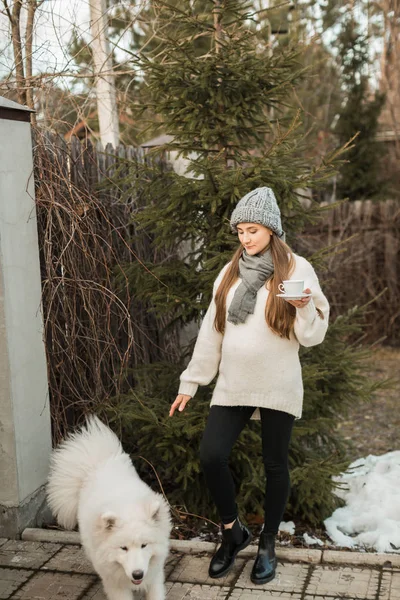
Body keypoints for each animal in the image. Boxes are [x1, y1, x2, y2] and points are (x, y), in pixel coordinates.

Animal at [47, 418, 172, 600]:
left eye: (144, 545)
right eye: (123, 548)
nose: (138, 574)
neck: (127, 507)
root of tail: (99, 462)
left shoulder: (154, 575)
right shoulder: (115, 582)